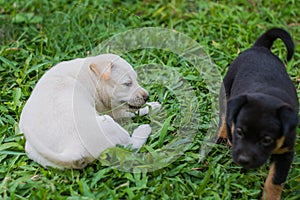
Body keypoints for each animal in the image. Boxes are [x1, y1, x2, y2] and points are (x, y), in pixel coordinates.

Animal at [19, 53, 161, 169]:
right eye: (127, 84)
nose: (147, 96)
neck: (90, 75)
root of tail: (72, 149)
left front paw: (151, 105)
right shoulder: (107, 109)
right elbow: (128, 112)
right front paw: (150, 107)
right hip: (108, 125)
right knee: (130, 146)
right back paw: (143, 130)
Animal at [218, 28, 298, 200]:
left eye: (267, 140)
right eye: (240, 132)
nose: (243, 160)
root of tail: (261, 47)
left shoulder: (286, 153)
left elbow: (274, 182)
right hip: (227, 86)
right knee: (224, 113)